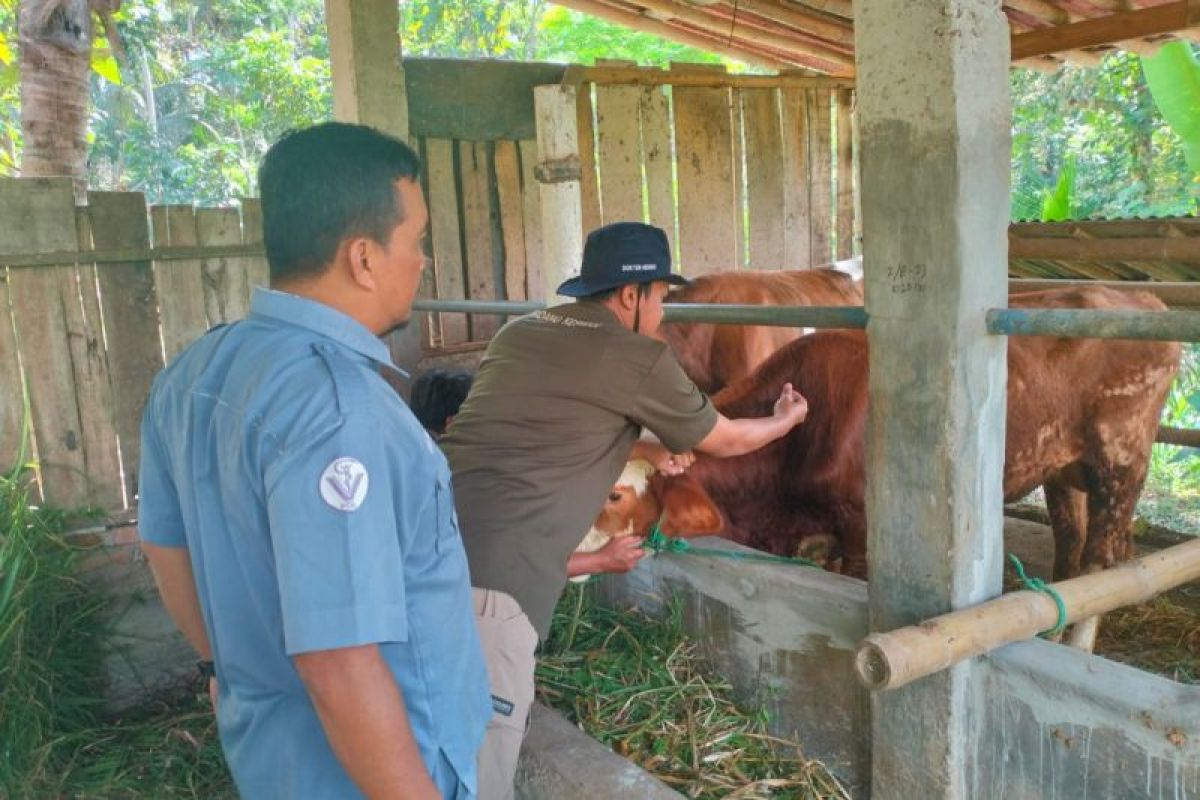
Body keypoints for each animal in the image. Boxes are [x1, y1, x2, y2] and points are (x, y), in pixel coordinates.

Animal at [590, 287, 1180, 594]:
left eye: (615, 493)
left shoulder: (860, 530)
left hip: (1122, 461)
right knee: (1071, 546)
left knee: (1104, 559)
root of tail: (1145, 299)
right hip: (1064, 469)